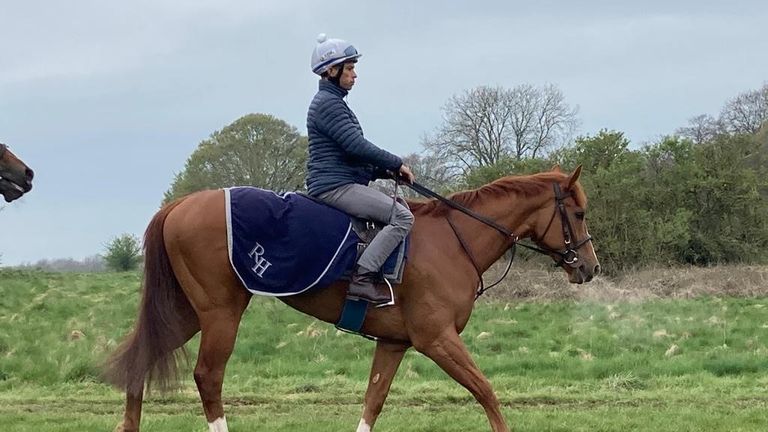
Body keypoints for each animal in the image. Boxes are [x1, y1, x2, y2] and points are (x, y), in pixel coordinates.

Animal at [106, 166, 600, 432]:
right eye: (578, 212)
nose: (590, 268)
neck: (453, 240)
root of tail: (180, 205)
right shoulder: (437, 339)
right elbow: (487, 392)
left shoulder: (394, 343)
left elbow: (373, 402)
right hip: (220, 312)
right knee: (208, 377)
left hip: (187, 313)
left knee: (143, 356)